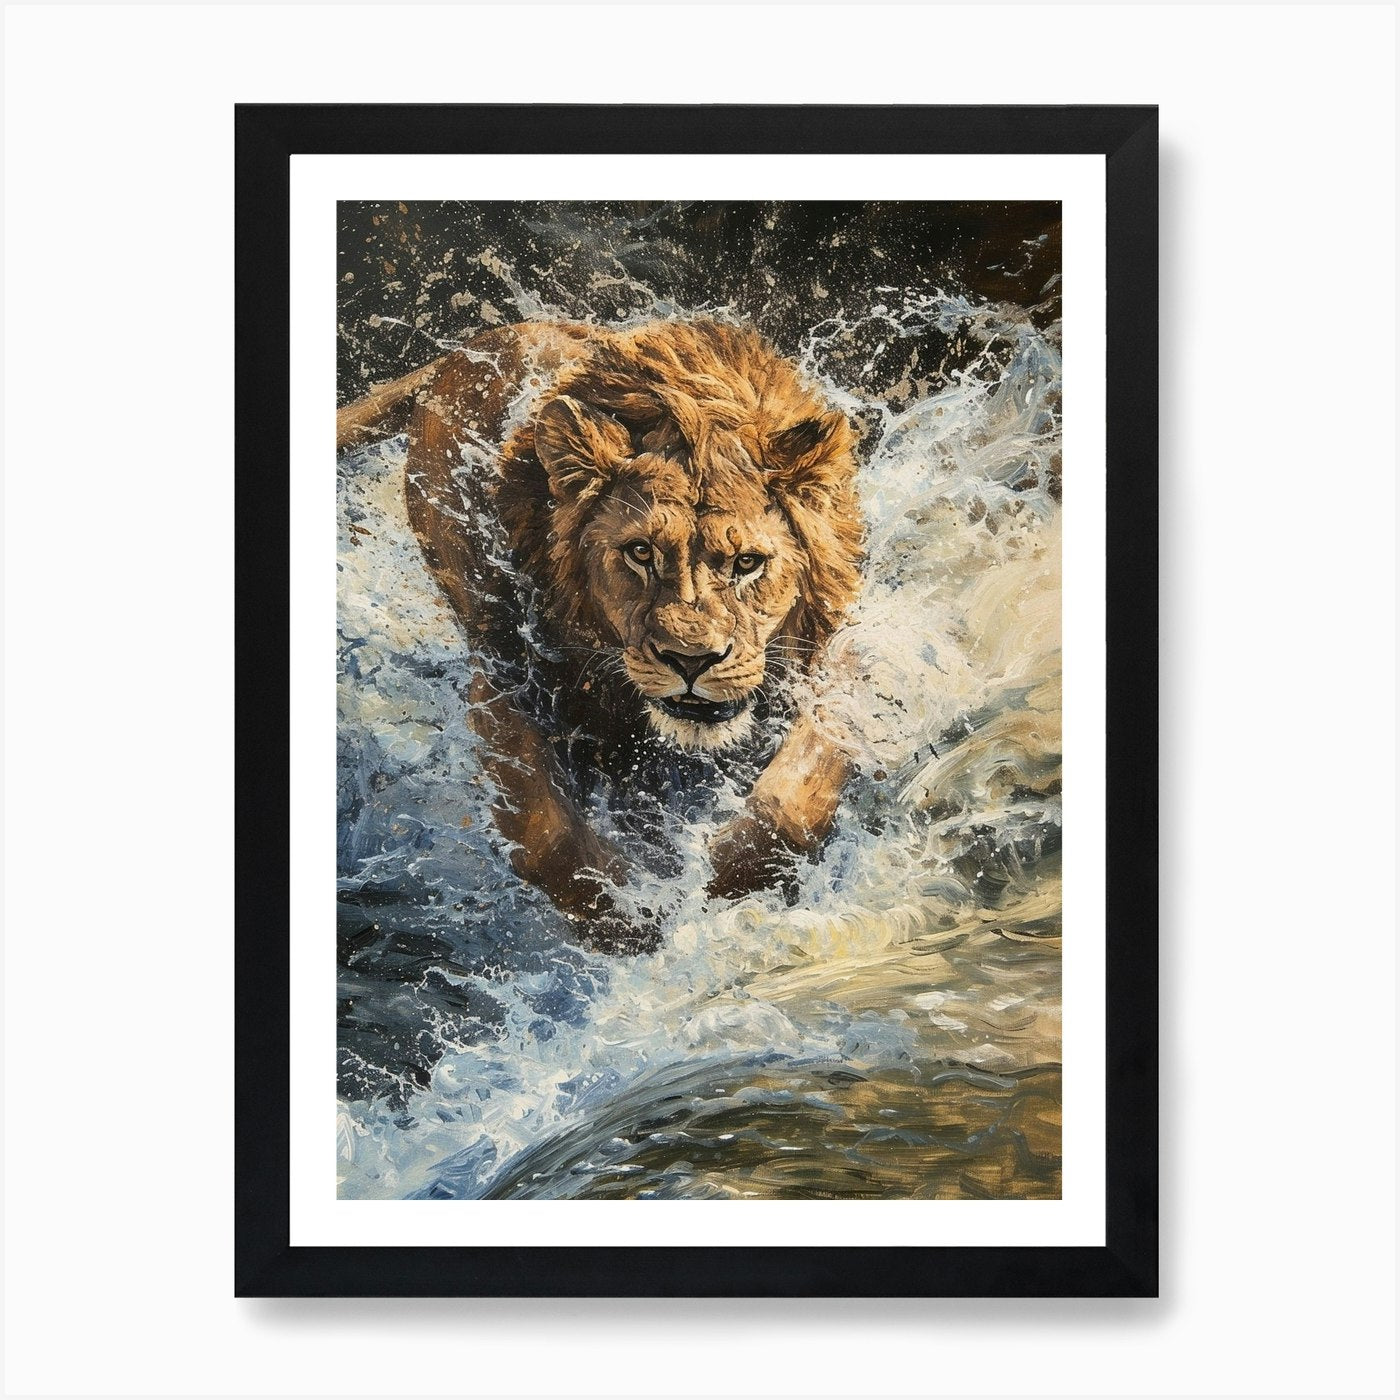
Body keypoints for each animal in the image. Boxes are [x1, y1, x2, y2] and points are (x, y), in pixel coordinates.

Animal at [336, 319, 865, 952]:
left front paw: (725, 886)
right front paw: (626, 921)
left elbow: (792, 797)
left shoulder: (837, 663)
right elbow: (547, 832)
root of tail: (489, 337)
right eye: (640, 553)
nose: (691, 660)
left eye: (747, 563)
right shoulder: (504, 676)